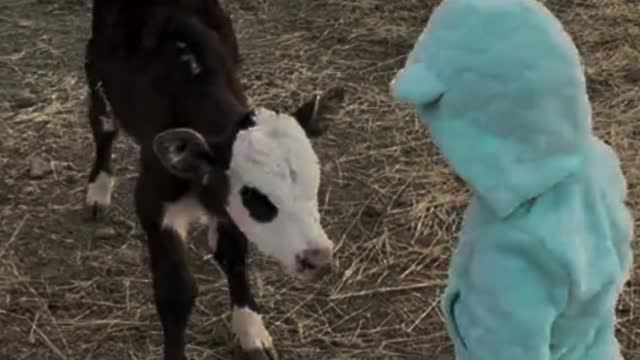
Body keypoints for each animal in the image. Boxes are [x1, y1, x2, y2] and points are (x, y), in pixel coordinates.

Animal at [85, 1, 342, 358]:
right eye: (256, 198)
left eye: (314, 186)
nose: (318, 261)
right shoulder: (153, 203)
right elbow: (176, 292)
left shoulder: (225, 207)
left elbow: (234, 256)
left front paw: (251, 329)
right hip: (96, 74)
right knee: (103, 127)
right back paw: (98, 191)